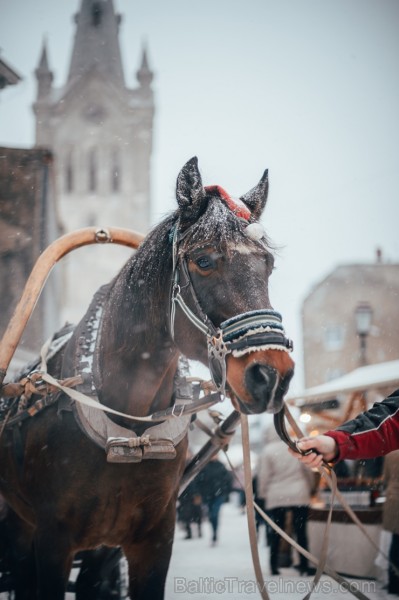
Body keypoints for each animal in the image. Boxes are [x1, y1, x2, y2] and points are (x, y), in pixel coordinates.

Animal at [0, 157, 294, 596]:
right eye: (203, 260)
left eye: (268, 264)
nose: (272, 375)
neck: (130, 424)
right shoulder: (52, 541)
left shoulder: (152, 541)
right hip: (21, 530)